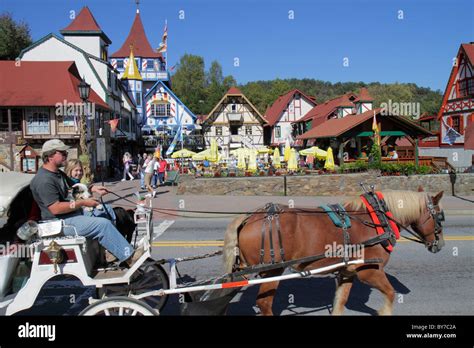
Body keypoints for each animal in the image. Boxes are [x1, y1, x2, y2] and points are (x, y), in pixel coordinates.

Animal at [222, 189, 444, 316]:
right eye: (440, 216)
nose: (440, 244)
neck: (377, 218)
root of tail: (249, 218)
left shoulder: (347, 272)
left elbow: (341, 301)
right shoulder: (369, 270)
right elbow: (390, 293)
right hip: (272, 270)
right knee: (264, 303)